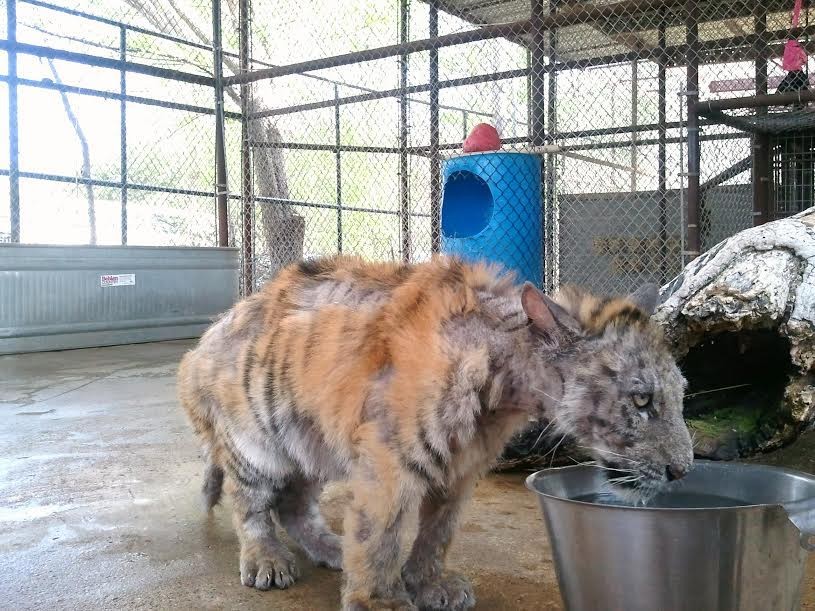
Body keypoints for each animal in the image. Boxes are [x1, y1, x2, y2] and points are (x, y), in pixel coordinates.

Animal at [177, 254, 693, 611]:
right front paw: (380, 601)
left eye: (680, 393)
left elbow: (437, 532)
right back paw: (266, 561)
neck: (504, 387)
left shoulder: (460, 468)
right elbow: (380, 534)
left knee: (293, 503)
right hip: (256, 440)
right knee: (250, 503)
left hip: (312, 442)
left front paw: (428, 584)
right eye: (642, 400)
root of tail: (206, 340)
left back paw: (331, 548)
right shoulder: (389, 461)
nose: (682, 470)